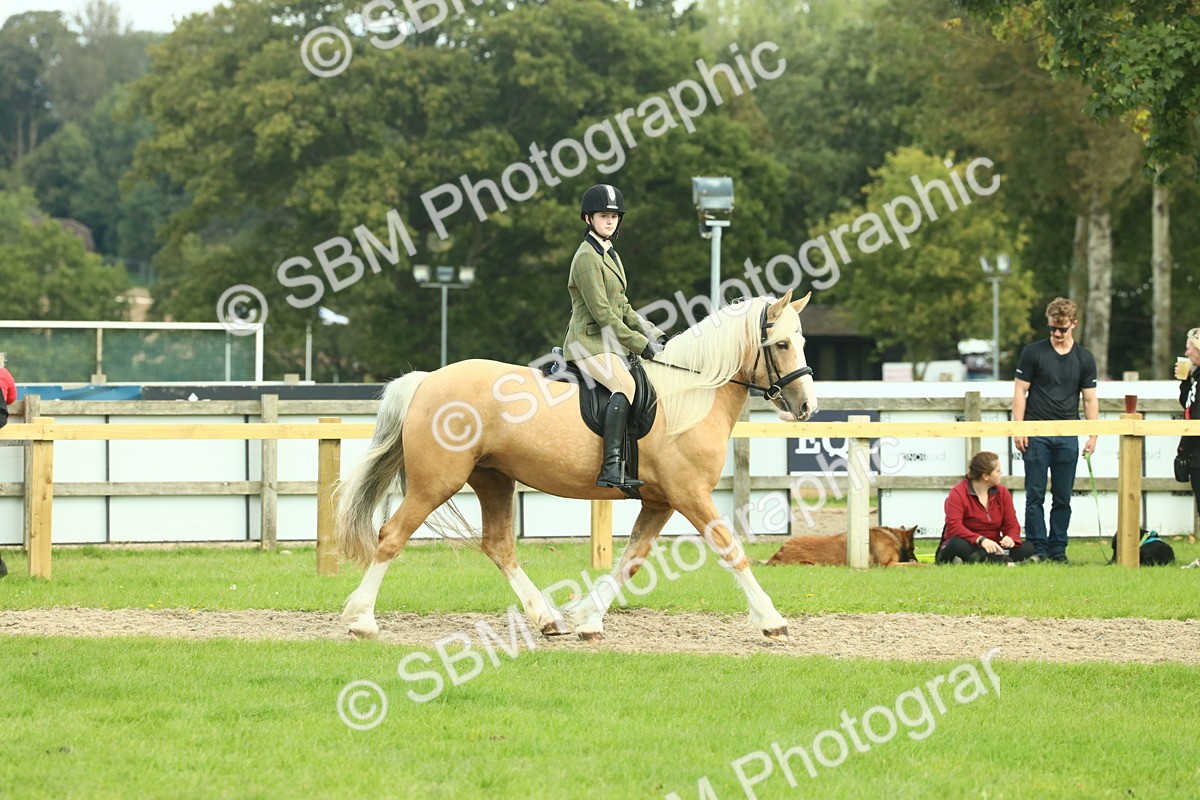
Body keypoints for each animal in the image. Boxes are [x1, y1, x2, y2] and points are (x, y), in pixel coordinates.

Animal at [336, 290, 818, 642]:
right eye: (781, 344)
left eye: (802, 341)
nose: (807, 406)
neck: (690, 394)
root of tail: (428, 380)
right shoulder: (690, 494)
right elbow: (731, 550)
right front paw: (772, 621)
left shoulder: (660, 502)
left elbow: (631, 561)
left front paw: (587, 619)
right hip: (436, 482)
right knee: (391, 536)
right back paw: (361, 620)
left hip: (493, 479)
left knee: (499, 547)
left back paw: (548, 620)